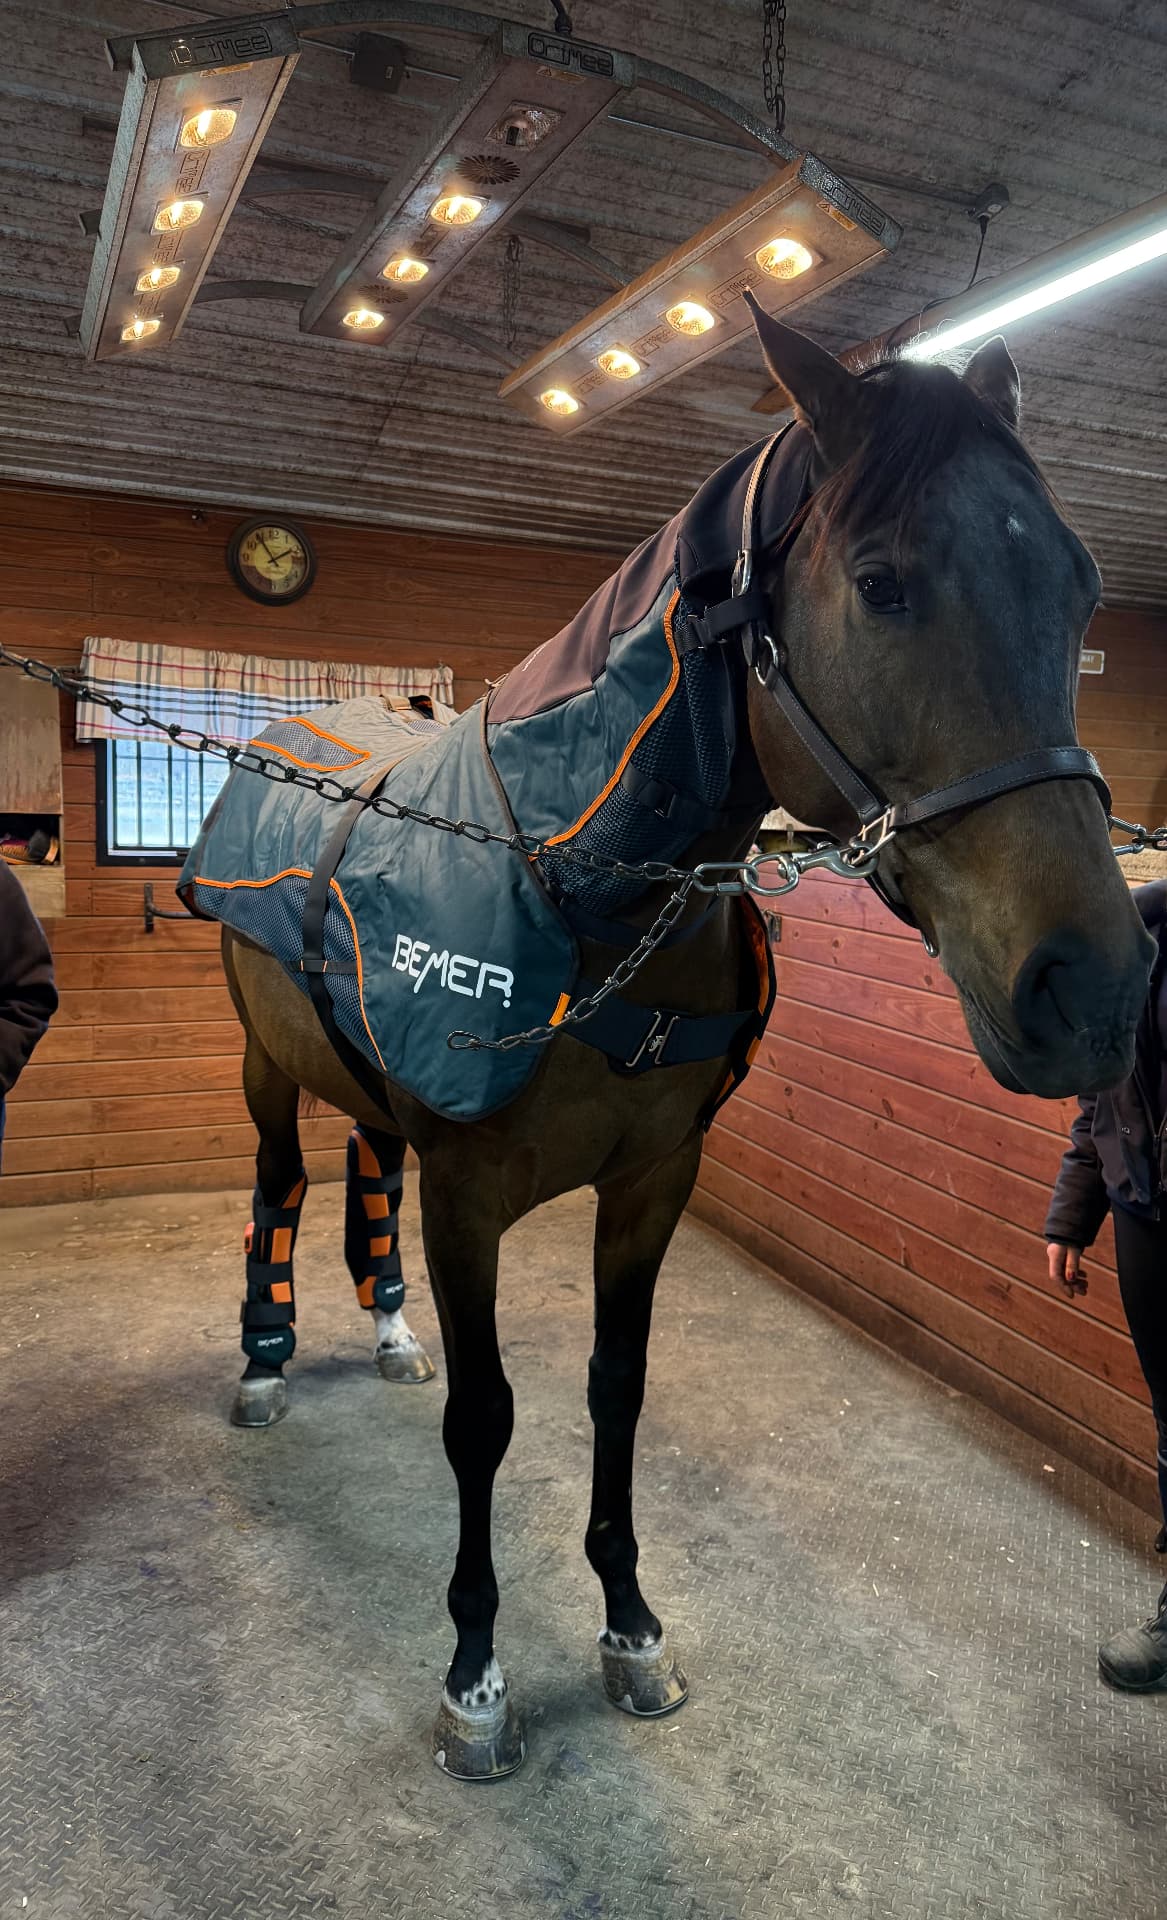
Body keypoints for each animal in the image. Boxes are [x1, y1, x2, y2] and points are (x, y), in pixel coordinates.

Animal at [213, 303, 1154, 1779]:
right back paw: (263, 1360)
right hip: (263, 1071)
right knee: (278, 1186)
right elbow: (485, 1419)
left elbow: (616, 1389)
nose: (1098, 992)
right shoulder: (468, 1200)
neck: (577, 884)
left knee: (366, 1164)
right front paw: (475, 1676)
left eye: (1079, 587)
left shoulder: (652, 1183)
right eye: (880, 584)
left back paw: (386, 1326)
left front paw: (630, 1627)